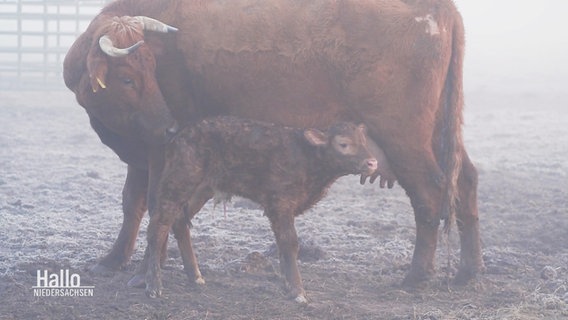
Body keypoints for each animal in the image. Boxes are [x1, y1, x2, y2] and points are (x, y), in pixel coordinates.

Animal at [142, 115, 388, 302]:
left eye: (364, 141)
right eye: (343, 143)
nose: (372, 163)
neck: (308, 158)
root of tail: (179, 135)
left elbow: (281, 244)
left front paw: (287, 285)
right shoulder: (280, 203)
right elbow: (290, 242)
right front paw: (298, 292)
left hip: (201, 189)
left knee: (178, 222)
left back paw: (195, 276)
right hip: (178, 182)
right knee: (158, 225)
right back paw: (154, 286)